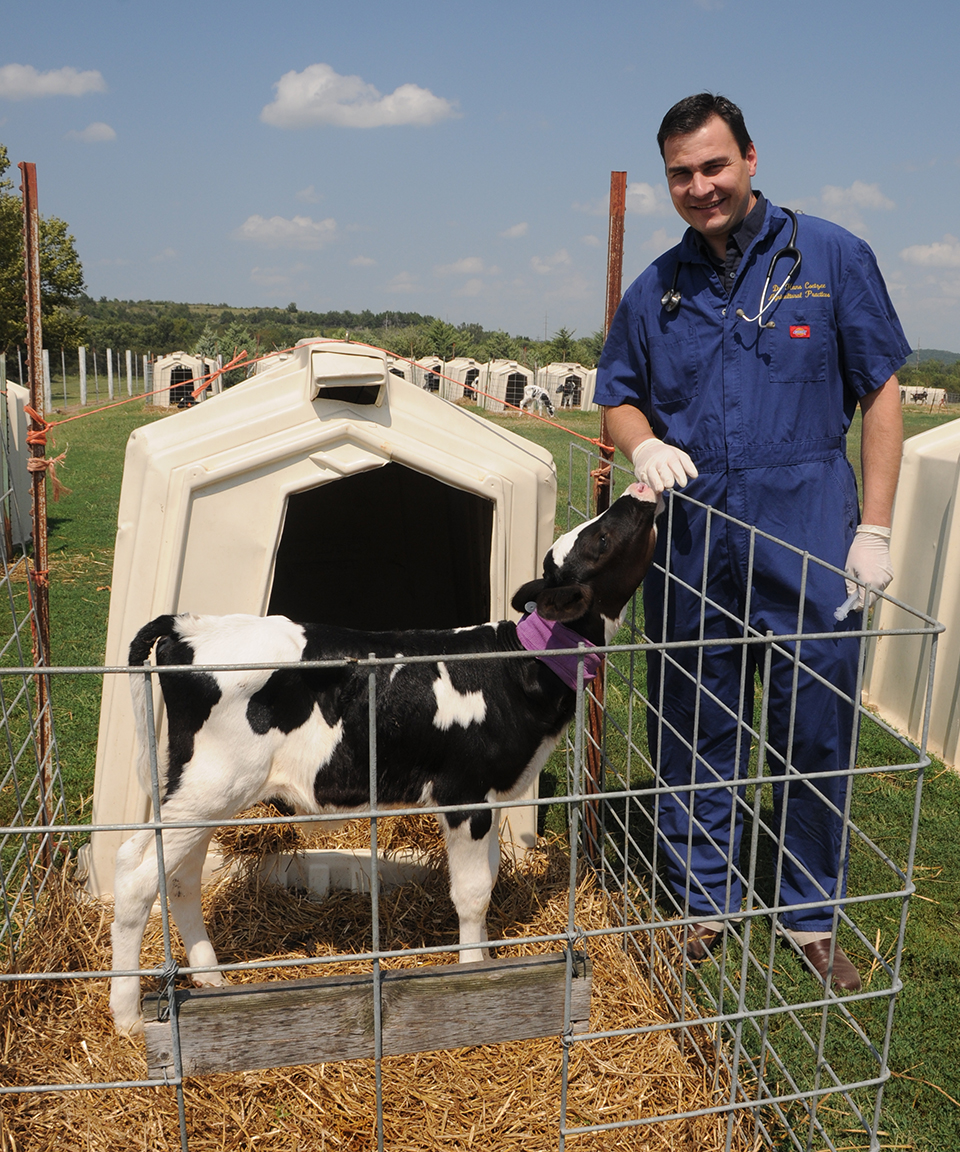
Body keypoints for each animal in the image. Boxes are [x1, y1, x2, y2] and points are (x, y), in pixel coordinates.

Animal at [106, 483, 659, 1036]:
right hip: (210, 786)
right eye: (602, 539)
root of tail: (188, 626)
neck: (517, 667)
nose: (640, 493)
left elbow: (489, 877)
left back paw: (210, 978)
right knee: (135, 874)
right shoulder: (464, 794)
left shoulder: (491, 795)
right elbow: (472, 892)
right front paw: (473, 976)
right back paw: (129, 1015)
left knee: (180, 875)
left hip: (202, 790)